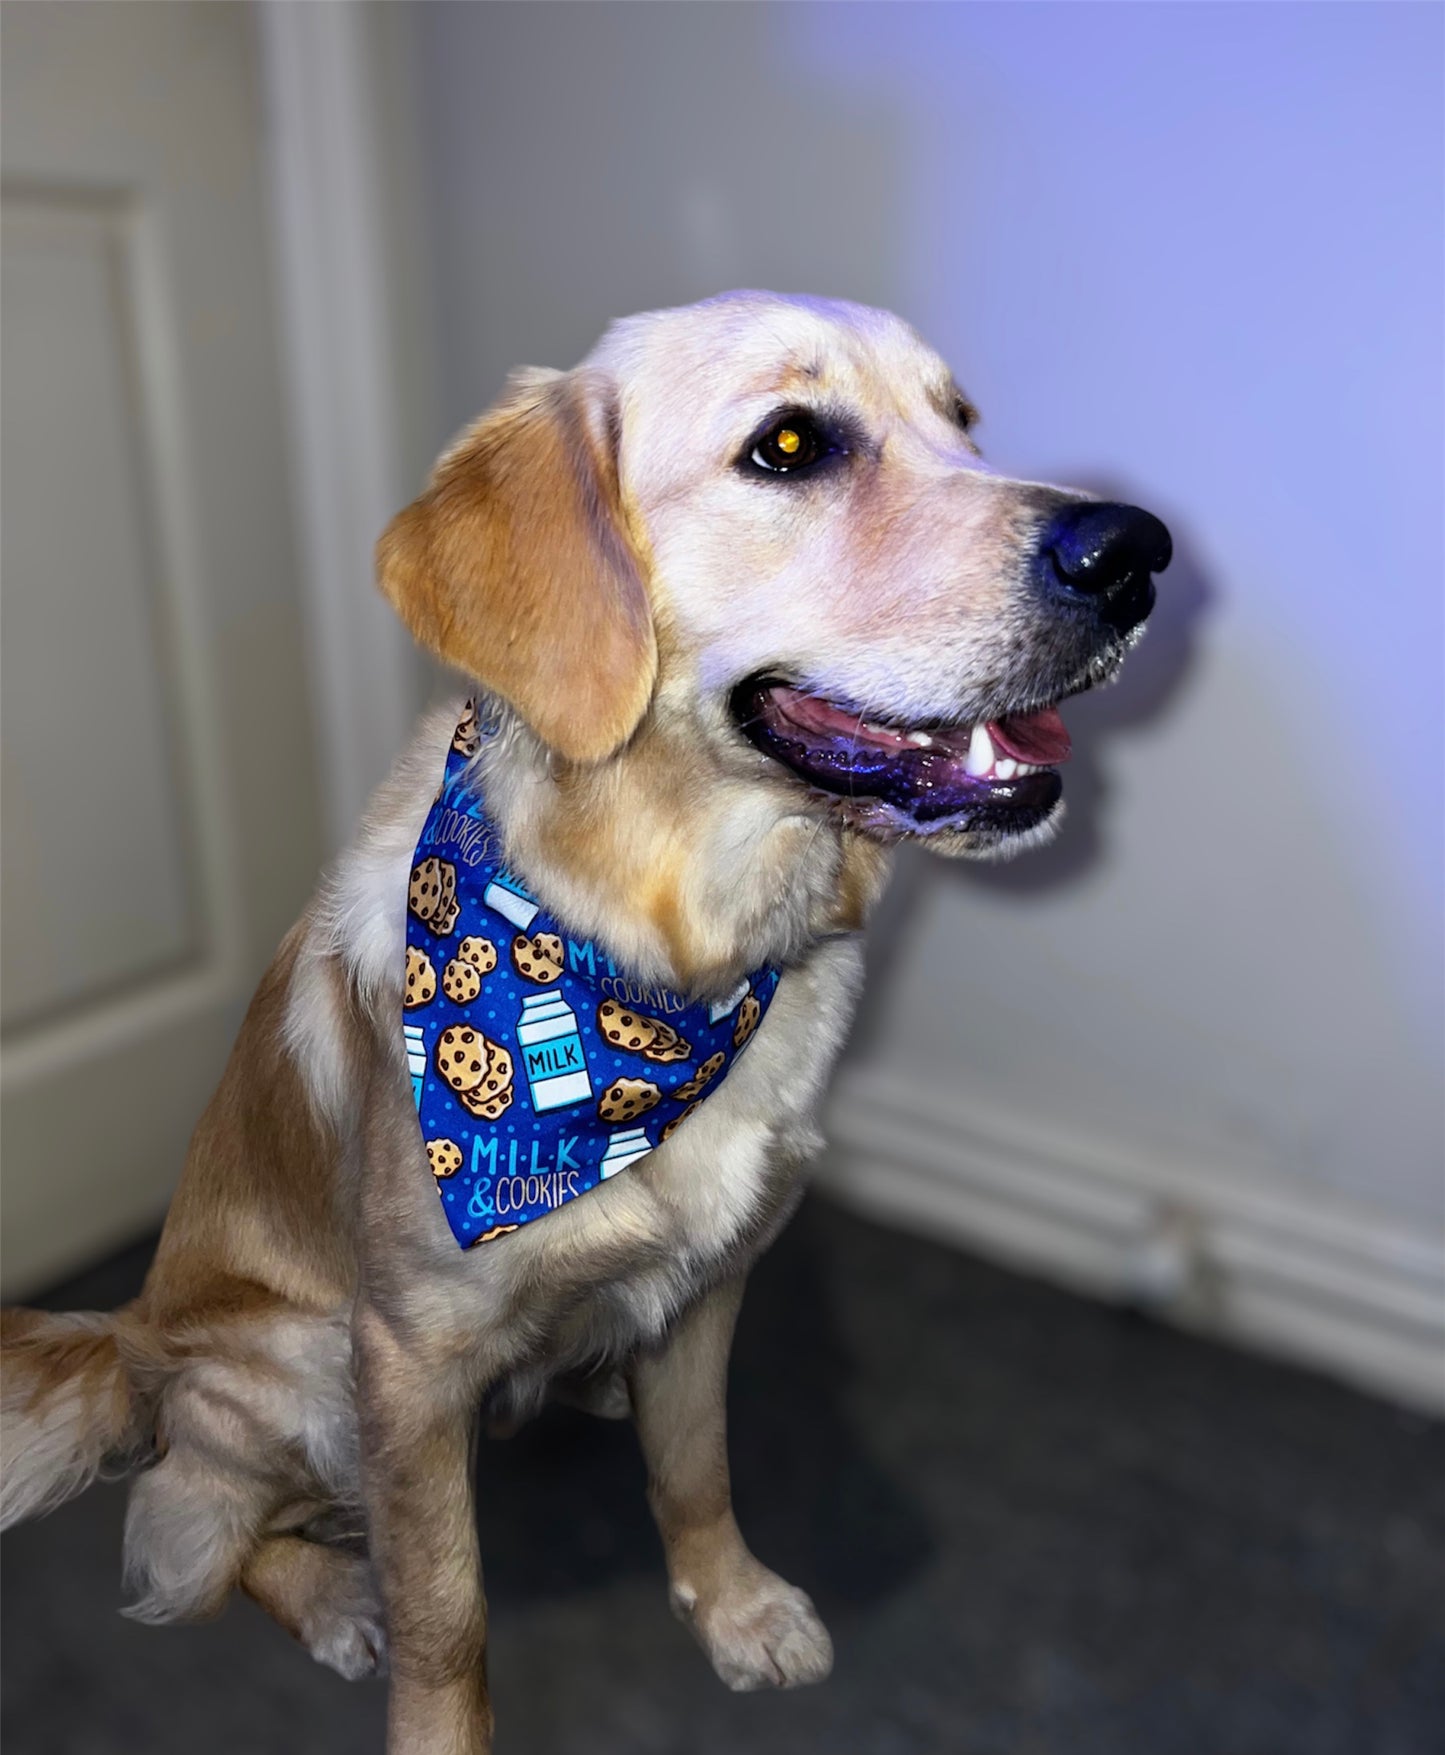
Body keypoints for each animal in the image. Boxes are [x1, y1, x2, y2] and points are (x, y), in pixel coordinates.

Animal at [0, 294, 1172, 1747]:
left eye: (962, 424)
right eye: (791, 444)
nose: (1134, 553)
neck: (663, 962)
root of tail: (132, 1342)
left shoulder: (717, 1277)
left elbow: (696, 1464)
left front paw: (730, 1606)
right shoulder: (405, 1358)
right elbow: (447, 1613)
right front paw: (433, 1711)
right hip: (299, 1370)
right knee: (199, 1531)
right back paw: (332, 1598)